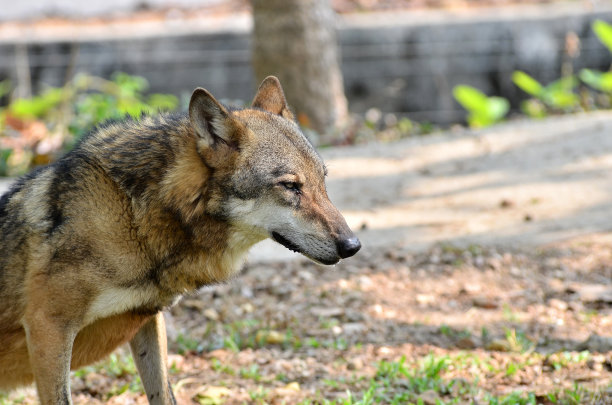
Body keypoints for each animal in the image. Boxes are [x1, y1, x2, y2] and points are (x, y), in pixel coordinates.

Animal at [0, 76, 360, 404]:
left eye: (322, 180)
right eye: (290, 186)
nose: (352, 245)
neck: (135, 216)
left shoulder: (146, 320)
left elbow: (164, 395)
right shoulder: (49, 328)